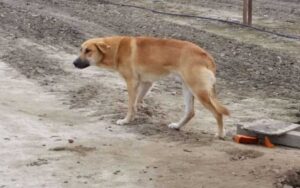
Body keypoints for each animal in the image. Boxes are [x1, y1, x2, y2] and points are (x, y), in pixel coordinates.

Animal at [73, 36, 230, 138]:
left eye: (88, 51)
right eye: (80, 49)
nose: (74, 63)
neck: (116, 49)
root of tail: (207, 56)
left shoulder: (132, 82)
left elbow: (130, 104)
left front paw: (126, 120)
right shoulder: (146, 83)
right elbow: (136, 102)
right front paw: (135, 115)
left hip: (199, 91)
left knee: (218, 113)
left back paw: (220, 134)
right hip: (188, 88)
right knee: (190, 112)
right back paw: (177, 126)